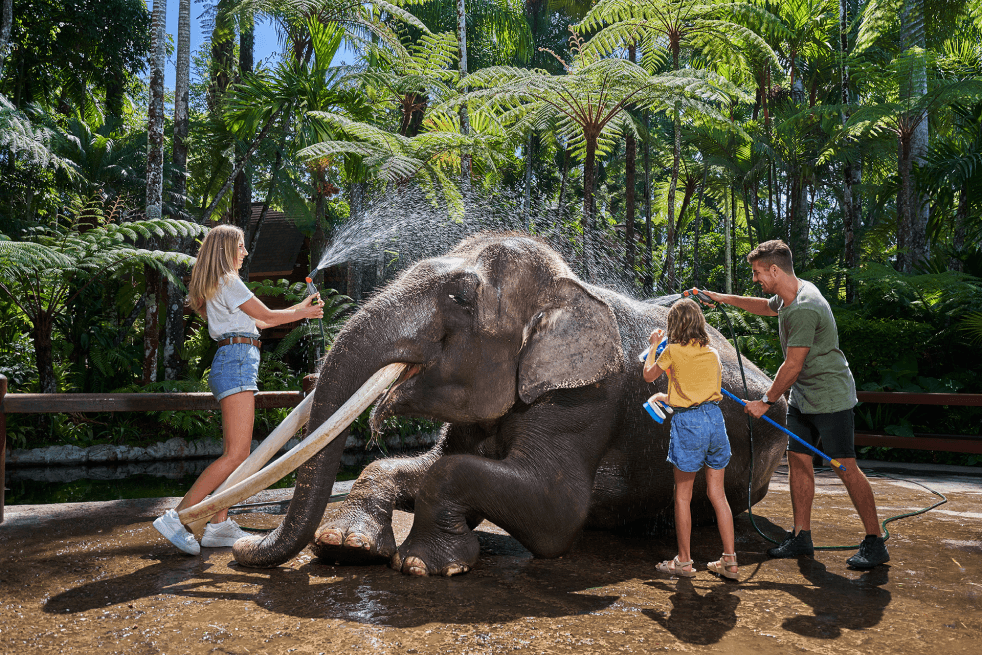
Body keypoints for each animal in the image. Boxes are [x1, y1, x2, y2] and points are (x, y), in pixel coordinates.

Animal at [232, 233, 788, 575]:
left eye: (460, 297)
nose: (240, 545)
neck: (566, 285)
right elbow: (424, 463)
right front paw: (344, 546)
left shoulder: (586, 399)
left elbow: (556, 512)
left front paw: (421, 564)